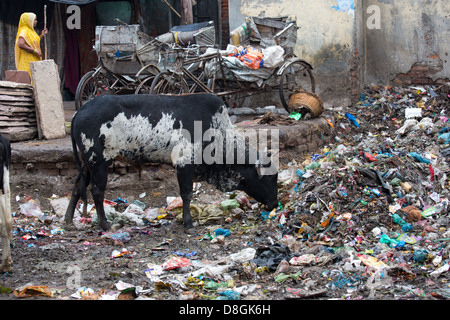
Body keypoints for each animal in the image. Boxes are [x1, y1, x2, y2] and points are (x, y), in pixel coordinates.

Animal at [64, 92, 278, 230]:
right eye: (270, 178)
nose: (275, 203)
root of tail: (79, 112)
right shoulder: (184, 163)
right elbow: (187, 194)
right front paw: (188, 223)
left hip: (87, 164)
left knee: (76, 187)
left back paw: (67, 221)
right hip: (99, 162)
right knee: (97, 192)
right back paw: (105, 224)